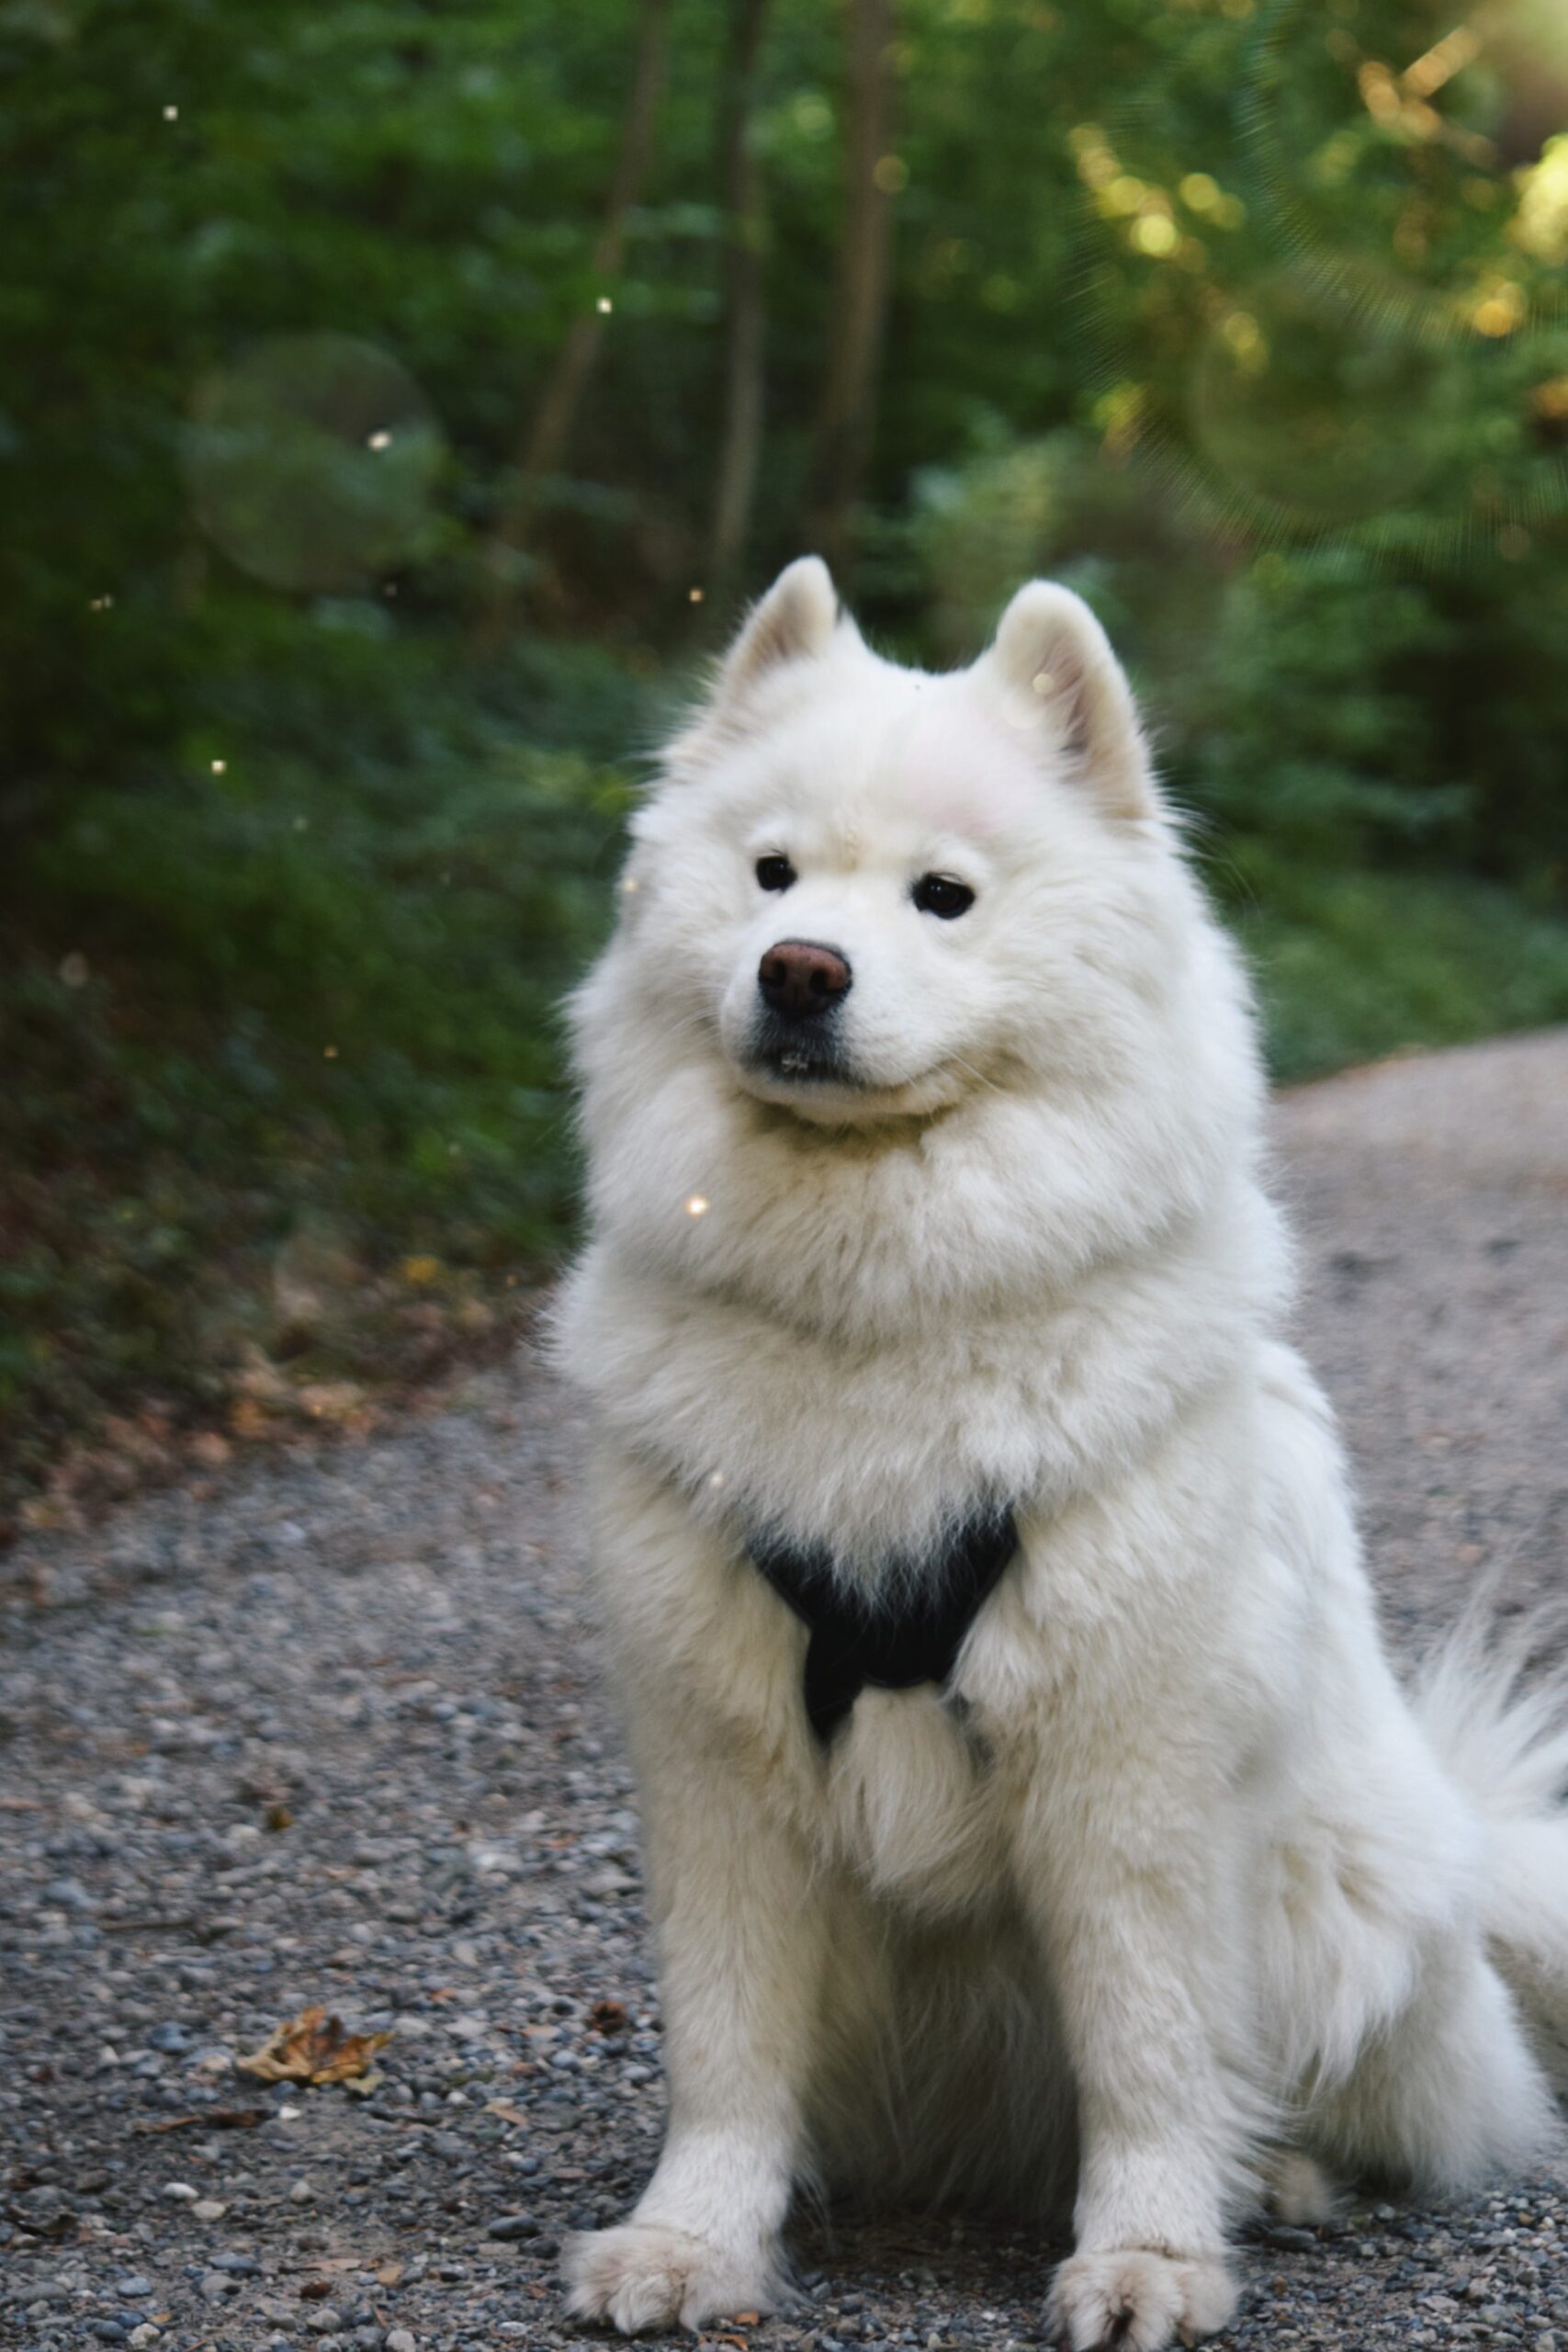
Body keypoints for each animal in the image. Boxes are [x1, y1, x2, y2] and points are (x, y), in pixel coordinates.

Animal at [554, 560, 1568, 2342]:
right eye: (769, 873)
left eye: (942, 897)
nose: (797, 969)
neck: (879, 1318)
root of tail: (1467, 1841)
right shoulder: (719, 1760)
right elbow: (725, 2045)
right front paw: (691, 2244)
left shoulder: (1123, 1769)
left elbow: (1151, 2047)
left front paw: (1150, 2258)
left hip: (1341, 1911)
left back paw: (1275, 2177)